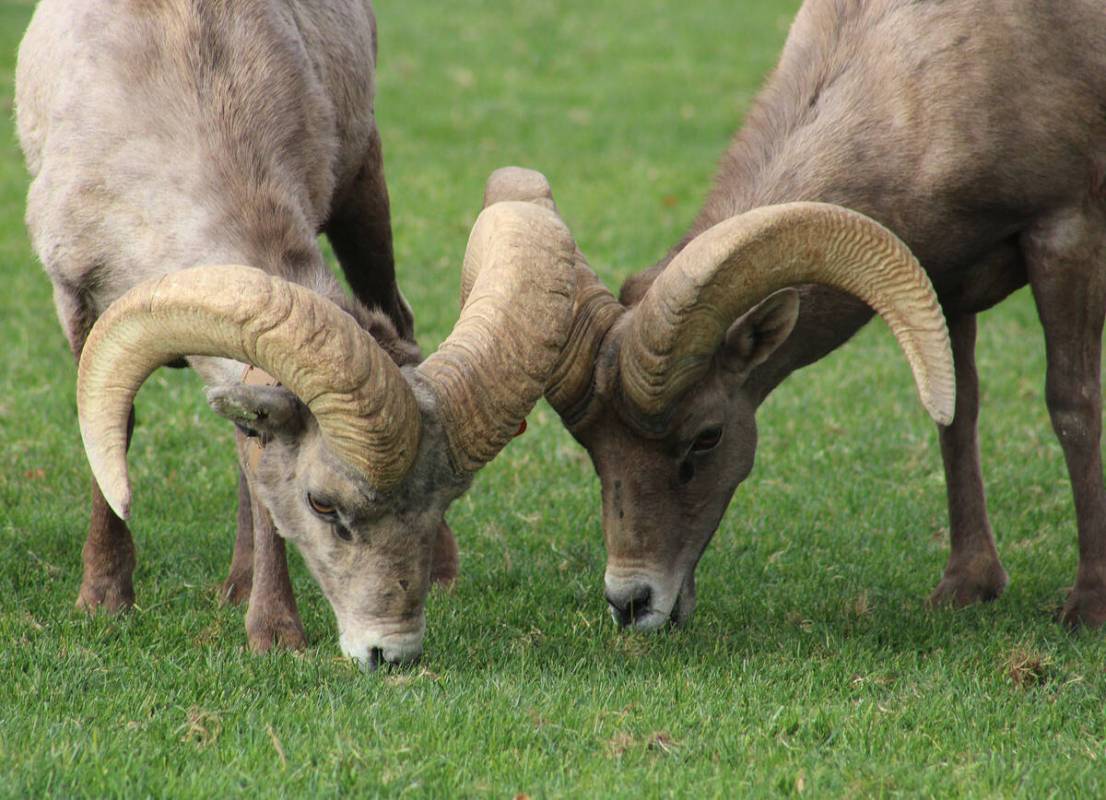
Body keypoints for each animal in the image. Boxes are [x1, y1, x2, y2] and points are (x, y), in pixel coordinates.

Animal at [19, 0, 579, 668]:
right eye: (323, 504)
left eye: (444, 500)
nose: (390, 652)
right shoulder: (76, 305)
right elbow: (117, 431)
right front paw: (105, 597)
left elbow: (256, 472)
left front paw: (272, 633)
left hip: (365, 183)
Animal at [491, 0, 1106, 632]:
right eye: (593, 449)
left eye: (706, 437)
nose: (630, 602)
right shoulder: (943, 284)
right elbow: (956, 416)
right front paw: (966, 586)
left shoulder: (1065, 235)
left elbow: (1072, 406)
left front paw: (1087, 605)